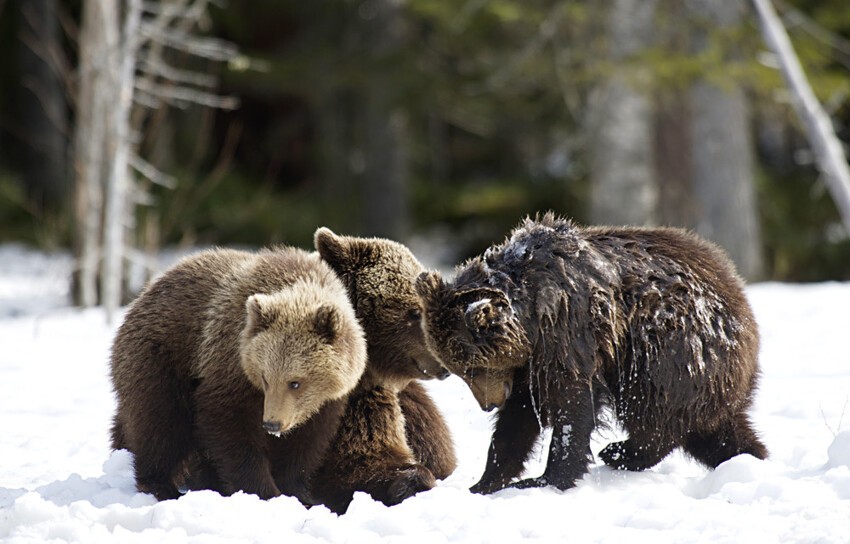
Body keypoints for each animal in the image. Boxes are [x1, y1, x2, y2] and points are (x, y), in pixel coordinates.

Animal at [108, 246, 364, 502]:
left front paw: (296, 491)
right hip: (162, 358)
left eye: (295, 383)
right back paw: (161, 485)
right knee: (161, 423)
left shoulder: (325, 402)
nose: (272, 424)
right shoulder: (230, 363)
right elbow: (229, 427)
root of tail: (141, 296)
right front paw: (263, 490)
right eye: (265, 378)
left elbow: (305, 444)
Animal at [414, 212, 764, 492]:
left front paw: (547, 478)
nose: (489, 404)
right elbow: (519, 417)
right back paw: (749, 458)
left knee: (652, 409)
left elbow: (572, 405)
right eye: (459, 371)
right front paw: (485, 481)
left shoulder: (568, 331)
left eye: (473, 367)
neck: (530, 317)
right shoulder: (530, 365)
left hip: (670, 350)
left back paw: (620, 451)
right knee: (718, 433)